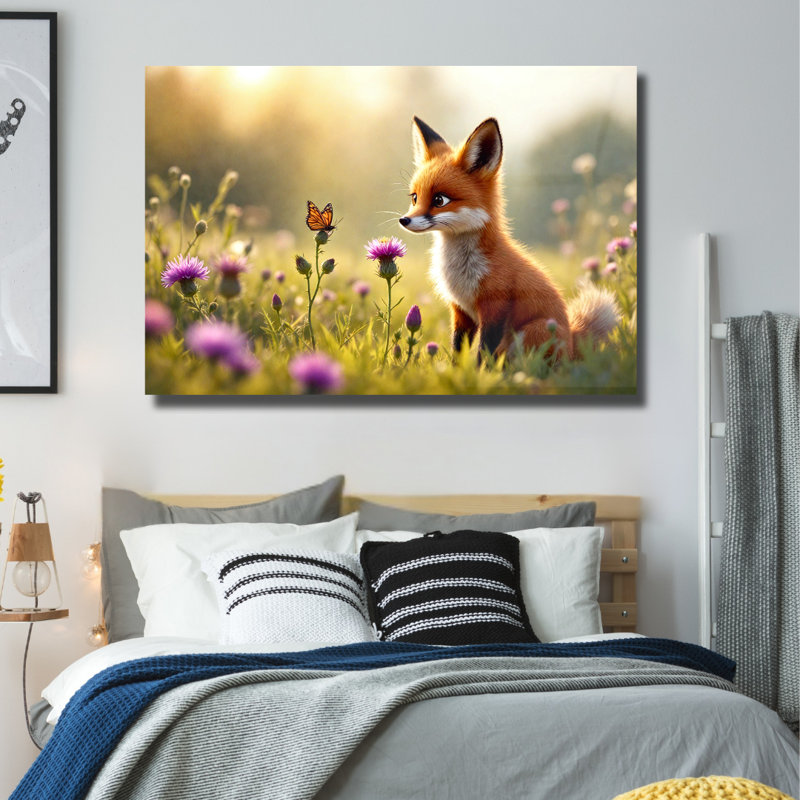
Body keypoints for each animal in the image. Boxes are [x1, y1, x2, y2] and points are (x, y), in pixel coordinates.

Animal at [399, 116, 620, 359]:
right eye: (414, 198)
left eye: (439, 200)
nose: (404, 220)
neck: (462, 271)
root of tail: (572, 343)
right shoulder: (461, 310)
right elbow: (459, 352)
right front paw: (454, 369)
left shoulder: (495, 308)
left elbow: (483, 354)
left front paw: (479, 370)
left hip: (532, 331)